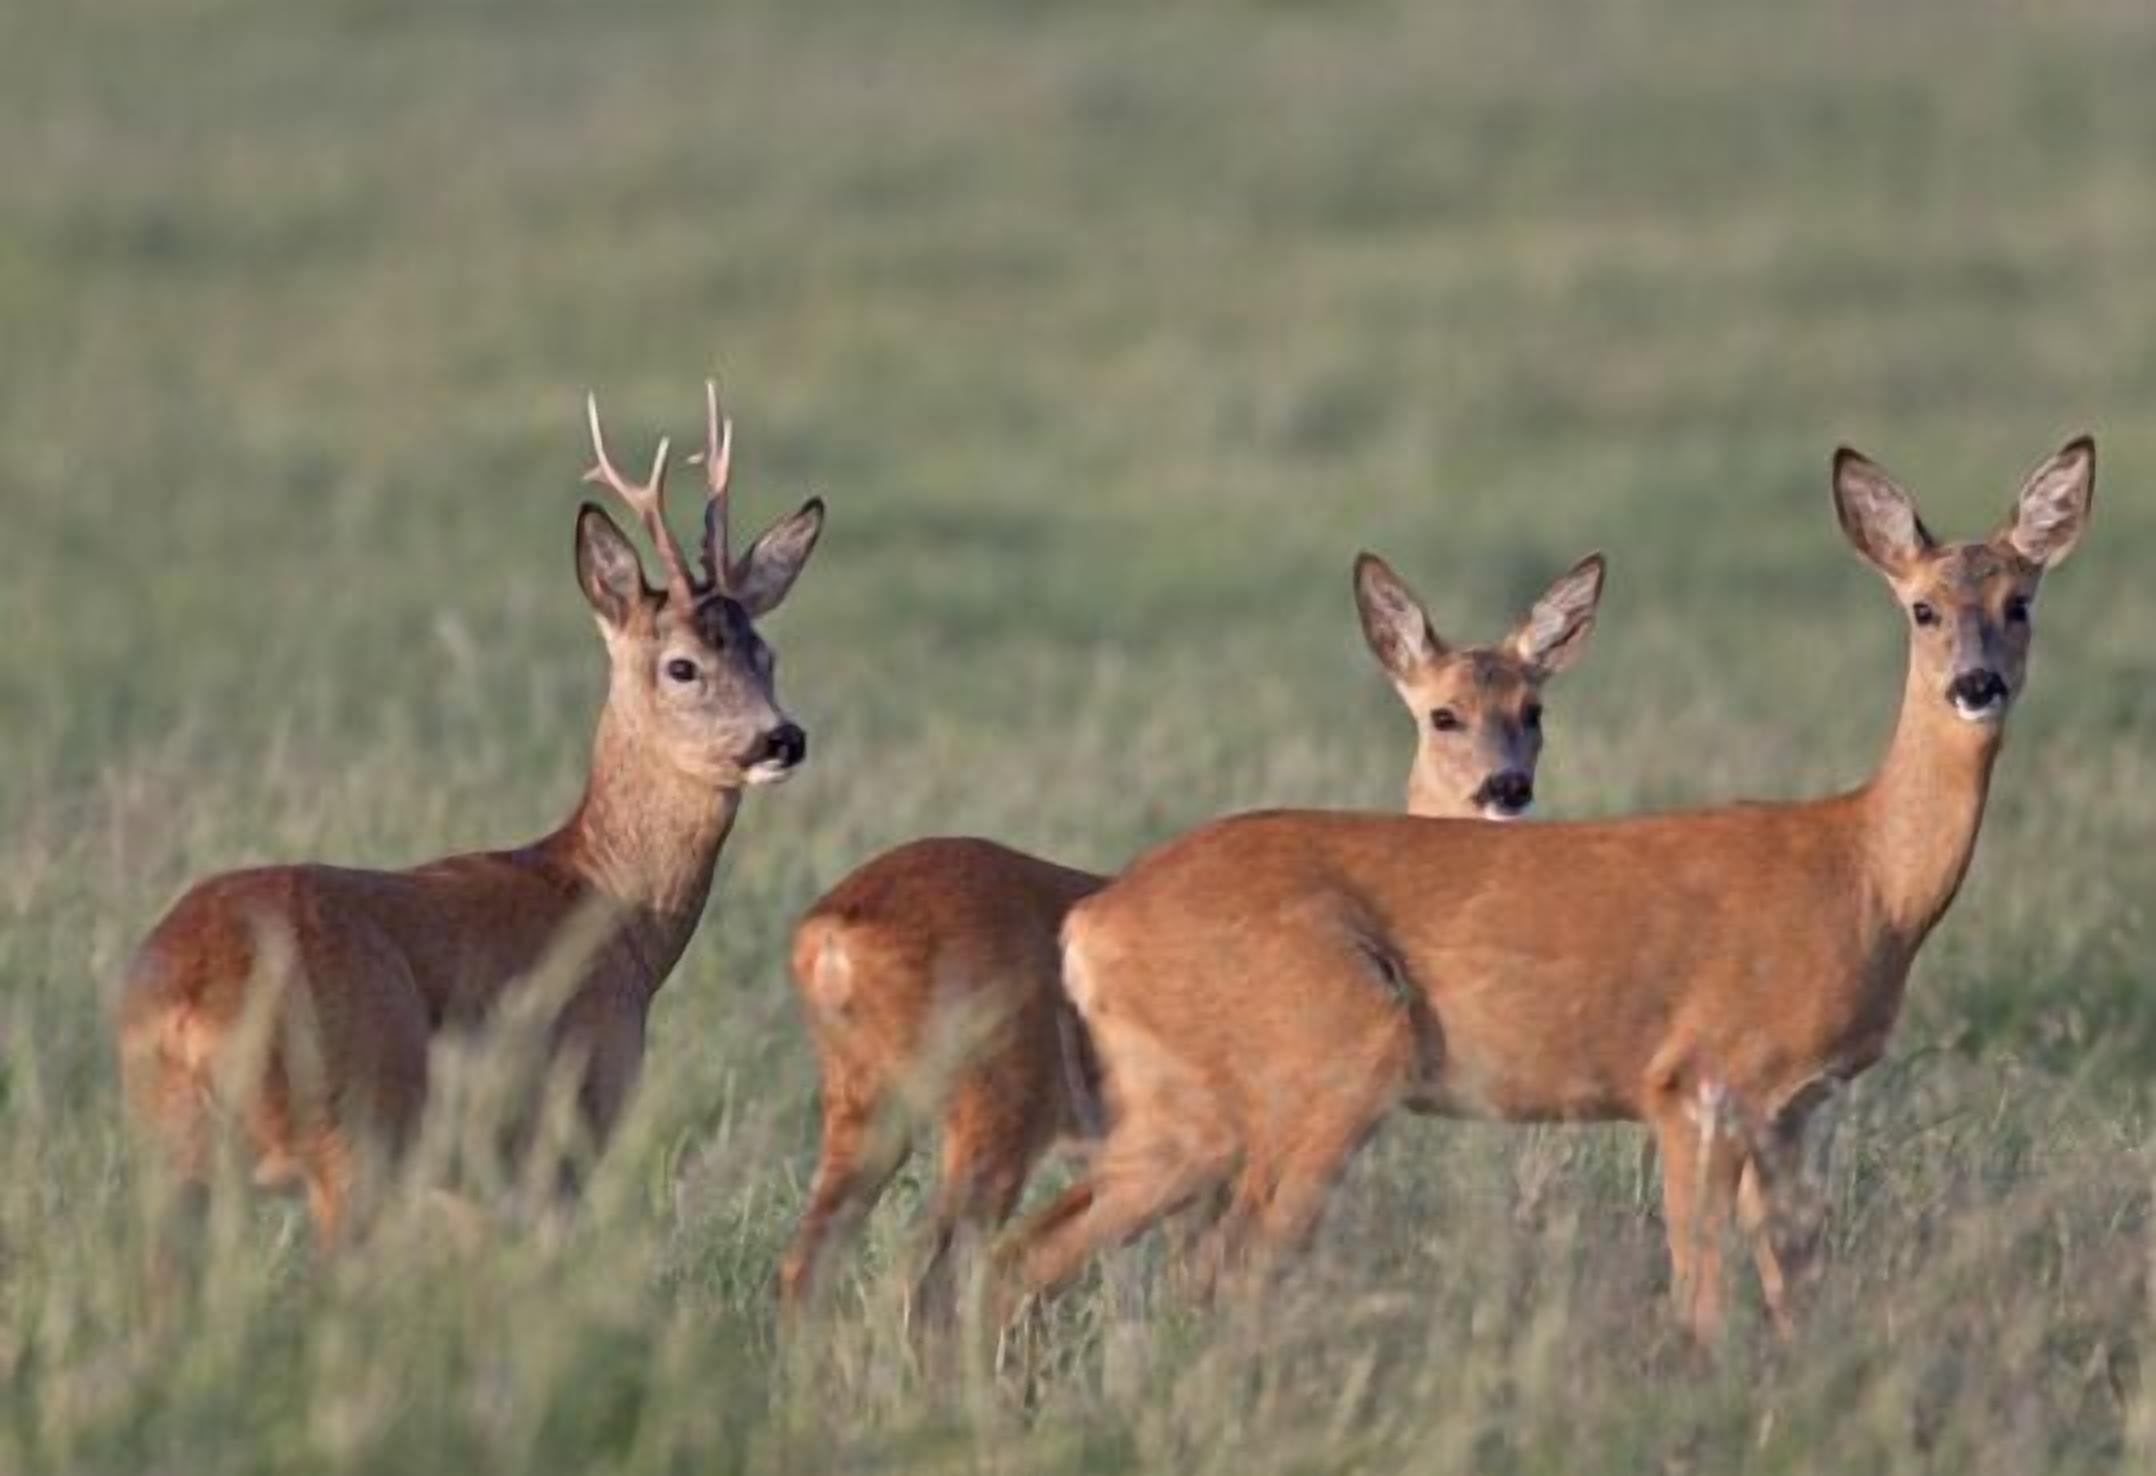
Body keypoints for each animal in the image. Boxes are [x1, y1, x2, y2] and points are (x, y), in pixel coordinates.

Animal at [116, 384, 826, 1242]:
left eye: (767, 654)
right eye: (682, 666)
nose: (781, 738)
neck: (612, 912)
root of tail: (185, 1006)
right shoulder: (567, 1125)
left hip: (169, 1160)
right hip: (352, 1132)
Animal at [778, 549, 1608, 1316]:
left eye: (1534, 711)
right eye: (1444, 715)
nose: (1507, 788)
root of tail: (830, 934)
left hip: (861, 1100)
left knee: (810, 1260)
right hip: (992, 1097)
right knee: (930, 1270)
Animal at [1008, 437, 2095, 1343]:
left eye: (2021, 602)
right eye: (1921, 607)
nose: (1976, 685)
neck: (1863, 874)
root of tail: (1092, 921)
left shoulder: (1793, 1109)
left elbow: (1796, 1295)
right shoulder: (1695, 1080)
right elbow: (1700, 1299)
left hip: (1177, 1102)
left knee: (1039, 1248)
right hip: (1332, 1054)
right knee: (1215, 1264)